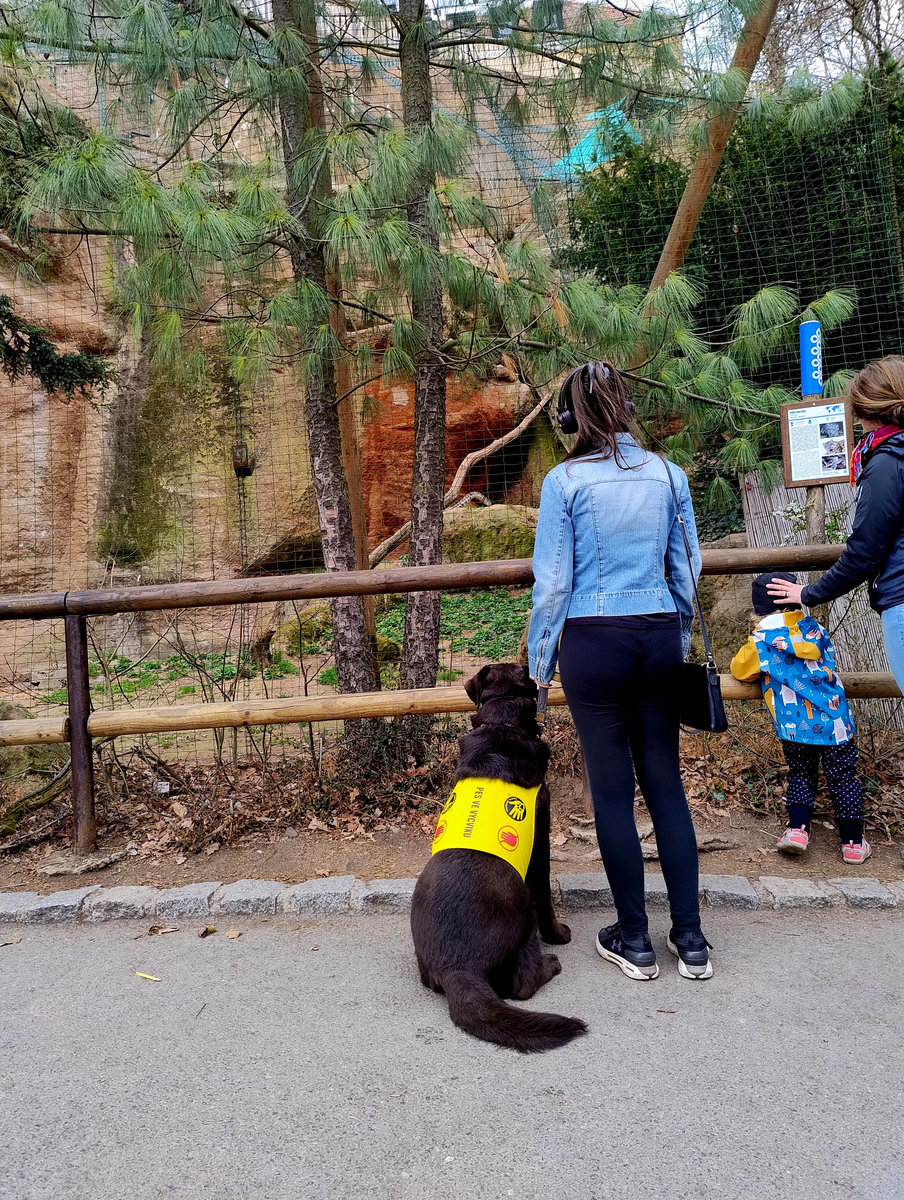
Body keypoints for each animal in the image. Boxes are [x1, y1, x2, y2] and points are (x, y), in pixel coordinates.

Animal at [410, 663, 588, 1053]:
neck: (501, 722)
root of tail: (456, 968)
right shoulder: (542, 834)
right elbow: (547, 894)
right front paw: (560, 936)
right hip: (523, 910)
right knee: (520, 984)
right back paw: (551, 963)